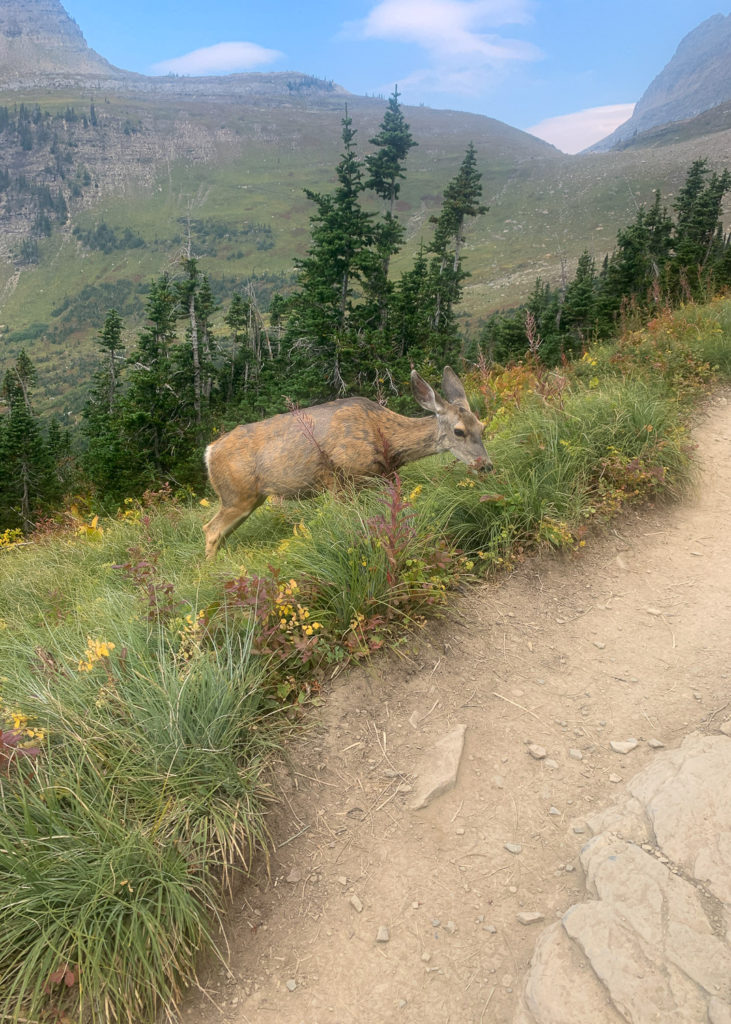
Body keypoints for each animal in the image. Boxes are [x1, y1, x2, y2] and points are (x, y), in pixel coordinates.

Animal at [201, 366, 493, 561]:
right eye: (458, 431)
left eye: (482, 426)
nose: (486, 465)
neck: (383, 436)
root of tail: (209, 451)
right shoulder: (340, 480)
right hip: (236, 495)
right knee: (211, 530)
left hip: (251, 498)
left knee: (218, 532)